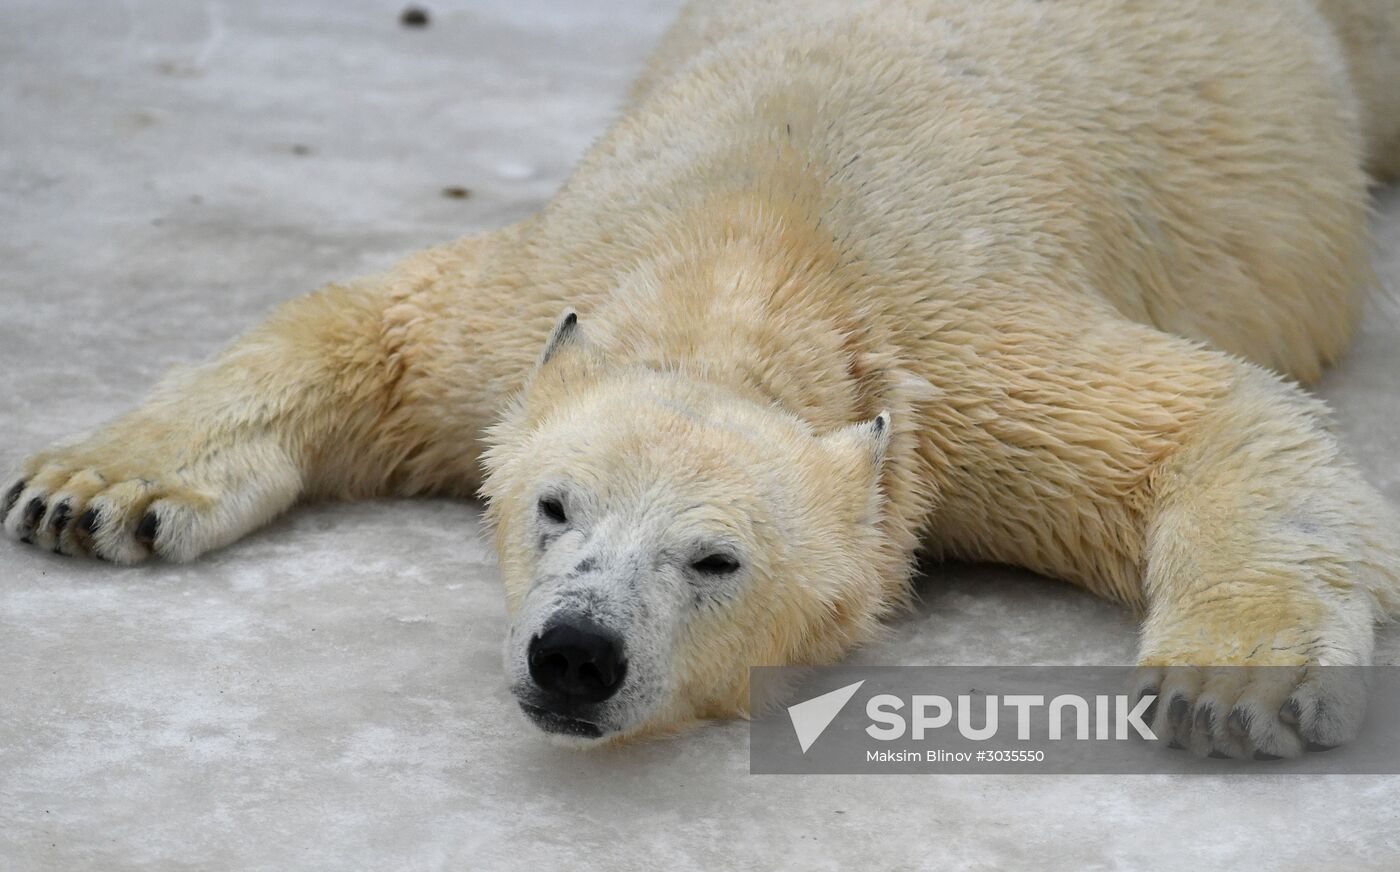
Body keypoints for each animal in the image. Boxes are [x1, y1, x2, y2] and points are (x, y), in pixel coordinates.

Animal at [5, 0, 1400, 758]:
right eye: (552, 505)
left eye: (714, 557)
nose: (574, 653)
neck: (753, 261)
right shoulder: (531, 302)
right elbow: (374, 327)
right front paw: (90, 490)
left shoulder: (963, 349)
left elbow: (1200, 418)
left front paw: (1233, 685)